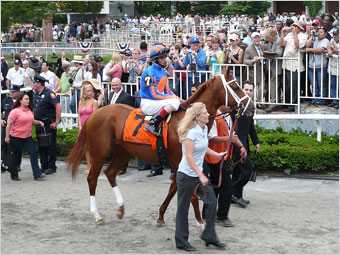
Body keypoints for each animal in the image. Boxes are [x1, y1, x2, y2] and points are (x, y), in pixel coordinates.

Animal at [66, 72, 254, 225]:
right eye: (235, 87)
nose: (252, 107)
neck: (187, 120)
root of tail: (94, 114)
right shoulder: (181, 162)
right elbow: (189, 193)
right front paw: (200, 221)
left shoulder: (180, 164)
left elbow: (174, 189)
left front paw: (161, 216)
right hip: (99, 153)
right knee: (92, 178)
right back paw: (97, 215)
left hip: (122, 152)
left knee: (110, 173)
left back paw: (120, 209)